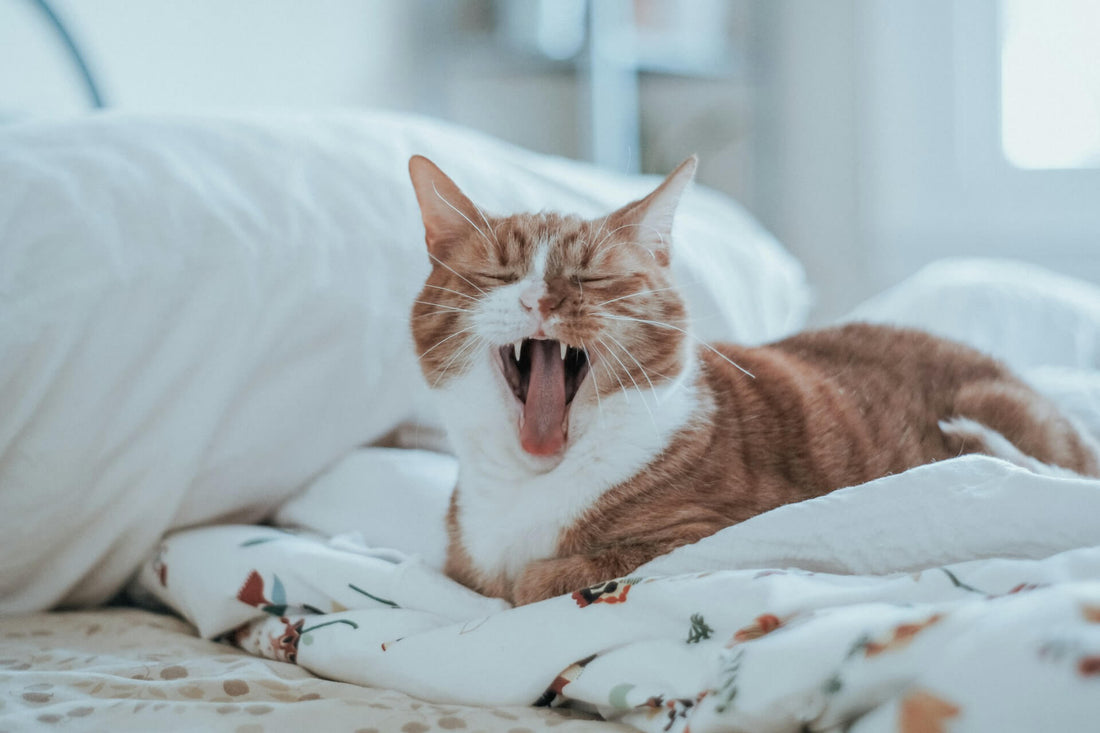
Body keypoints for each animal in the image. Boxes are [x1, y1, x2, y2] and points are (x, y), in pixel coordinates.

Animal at [407, 150, 1100, 603]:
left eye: (593, 277)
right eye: (498, 275)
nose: (541, 300)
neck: (531, 482)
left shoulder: (724, 531)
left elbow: (538, 578)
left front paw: (529, 575)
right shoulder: (459, 561)